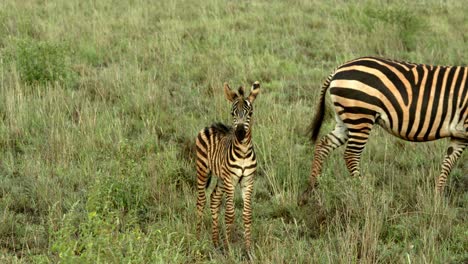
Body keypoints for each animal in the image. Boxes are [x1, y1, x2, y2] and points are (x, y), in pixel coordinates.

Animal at [300, 56, 468, 205]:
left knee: (324, 144)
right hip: (360, 116)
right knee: (351, 155)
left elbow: (448, 163)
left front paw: (437, 199)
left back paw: (312, 188)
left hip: (346, 119)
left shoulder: (460, 136)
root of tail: (338, 69)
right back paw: (364, 193)